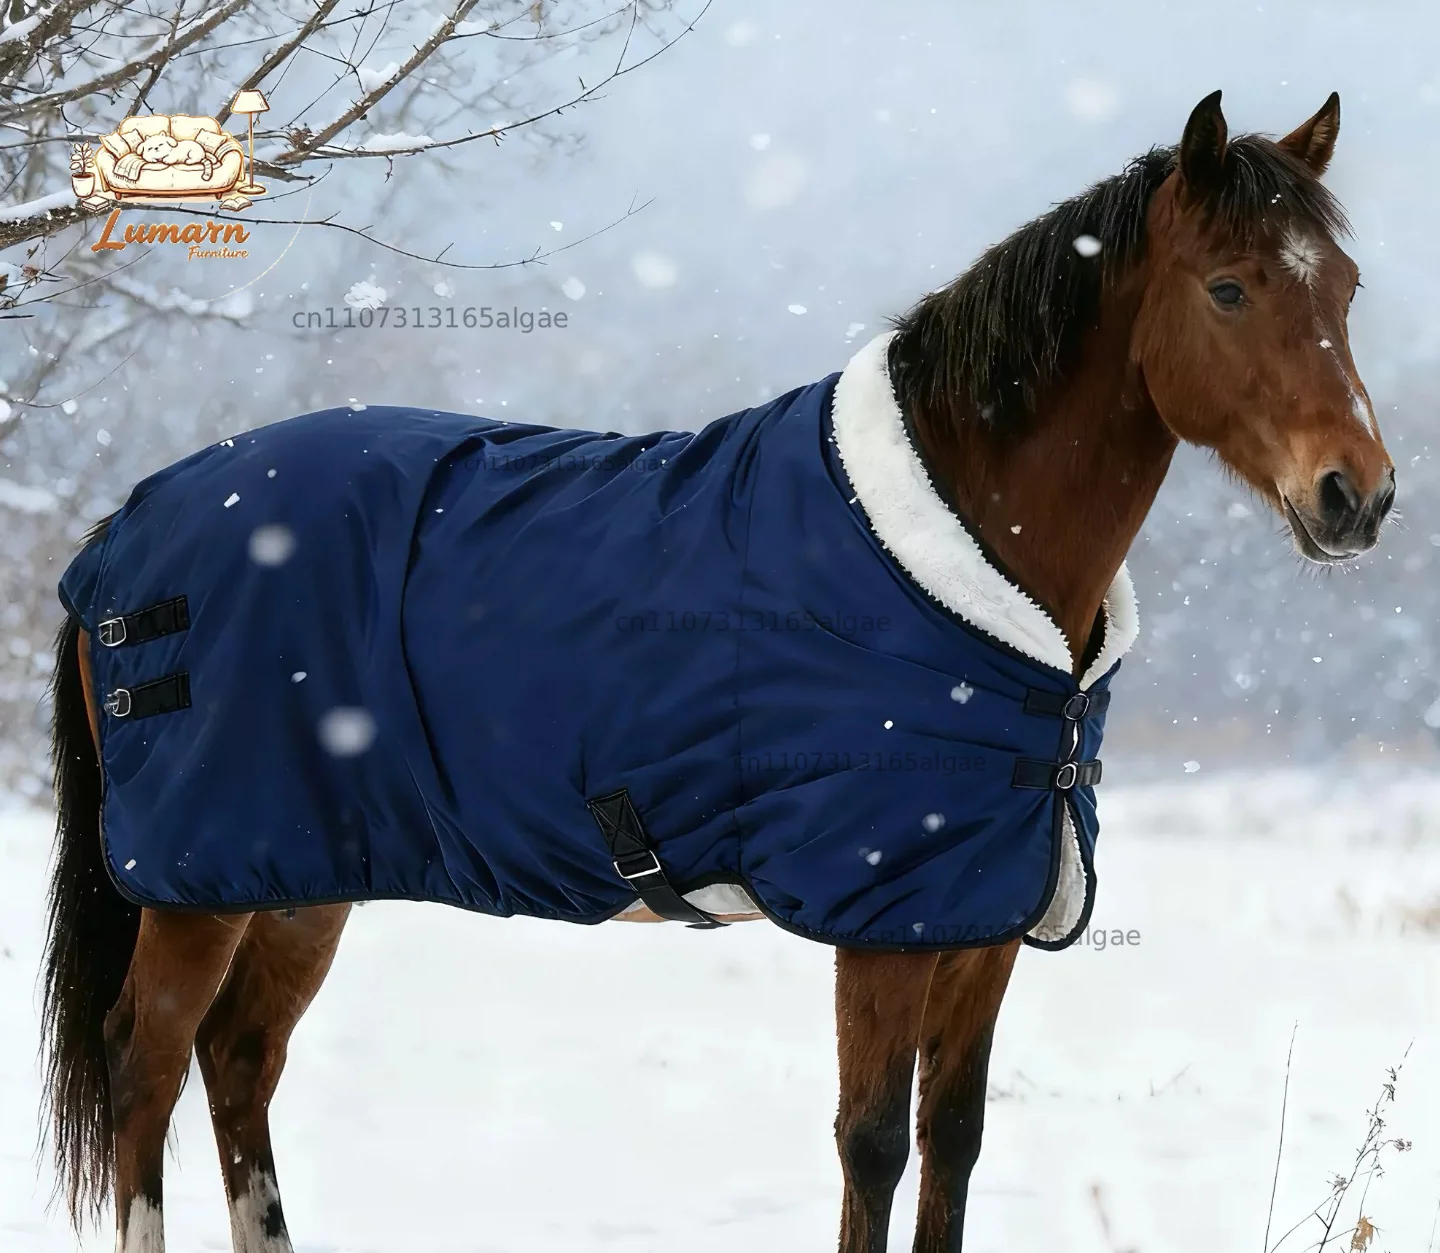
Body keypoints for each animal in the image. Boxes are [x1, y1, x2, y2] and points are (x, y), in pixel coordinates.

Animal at [38, 89, 1393, 1253]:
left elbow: (951, 1143)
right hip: (196, 884)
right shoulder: (883, 923)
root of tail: (121, 529)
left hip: (301, 874)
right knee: (145, 1062)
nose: (1358, 495)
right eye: (1228, 287)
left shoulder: (981, 919)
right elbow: (872, 1146)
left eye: (1347, 287)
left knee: (239, 1063)